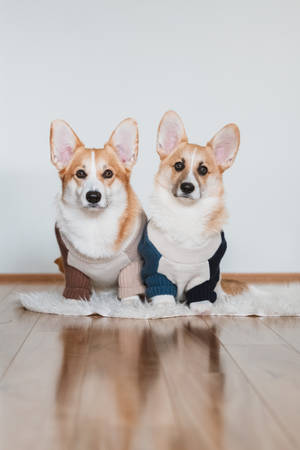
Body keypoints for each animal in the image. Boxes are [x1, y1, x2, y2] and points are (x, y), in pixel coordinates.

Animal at [50, 118, 145, 302]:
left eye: (108, 173)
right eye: (80, 173)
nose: (93, 196)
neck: (95, 223)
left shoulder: (132, 262)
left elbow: (129, 288)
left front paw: (131, 304)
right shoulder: (71, 264)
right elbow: (76, 288)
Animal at [139, 110, 245, 312]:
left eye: (203, 170)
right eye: (179, 166)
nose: (187, 187)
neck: (186, 213)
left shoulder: (206, 274)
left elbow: (202, 294)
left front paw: (203, 309)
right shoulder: (157, 270)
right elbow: (162, 293)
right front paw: (165, 309)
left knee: (219, 287)